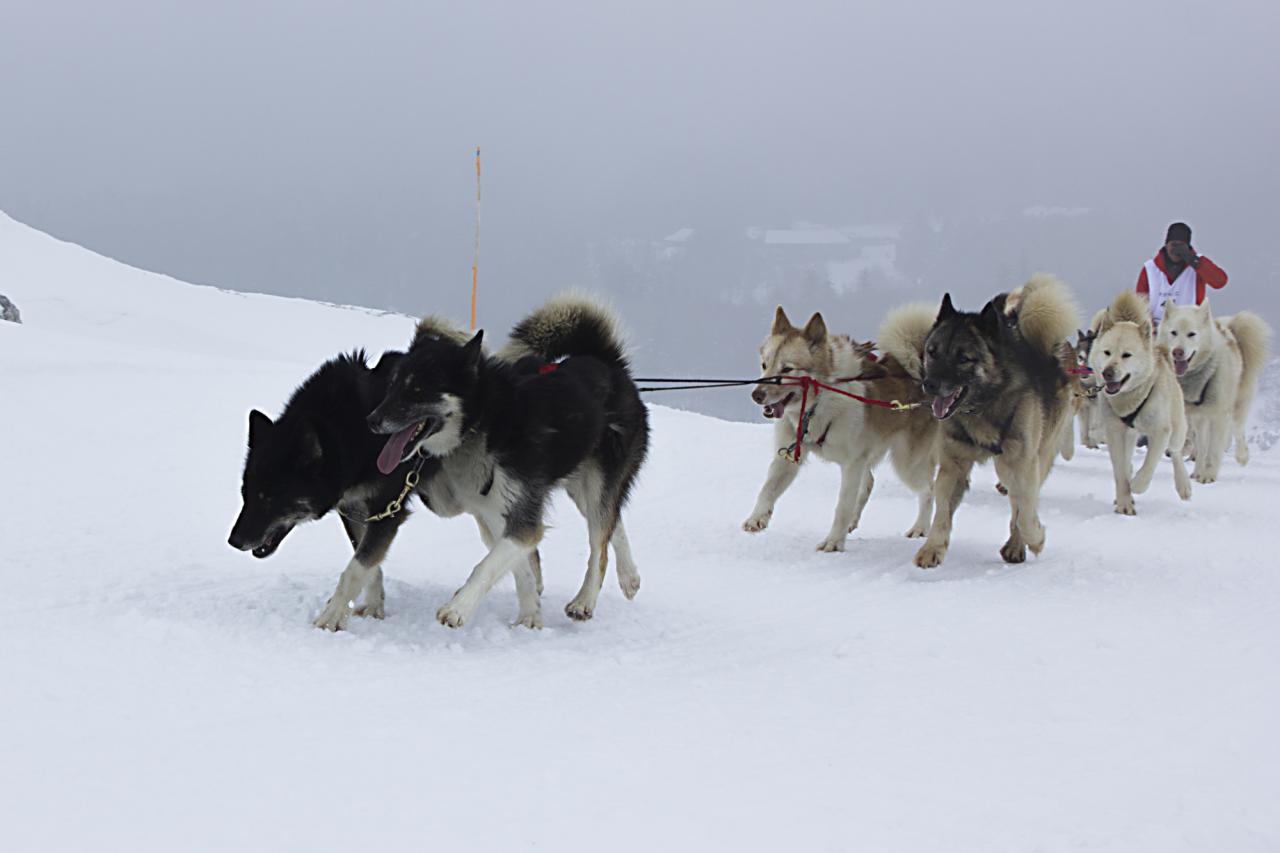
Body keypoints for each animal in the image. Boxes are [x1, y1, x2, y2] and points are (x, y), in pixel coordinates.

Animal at [368, 295, 650, 627]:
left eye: (416, 390)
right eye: (392, 386)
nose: (372, 421)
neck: (484, 422)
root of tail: (605, 361)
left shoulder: (523, 518)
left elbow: (488, 565)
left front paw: (458, 608)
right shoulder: (494, 510)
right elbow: (521, 568)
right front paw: (530, 616)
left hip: (597, 484)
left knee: (600, 543)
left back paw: (584, 600)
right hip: (579, 484)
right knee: (612, 522)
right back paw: (629, 577)